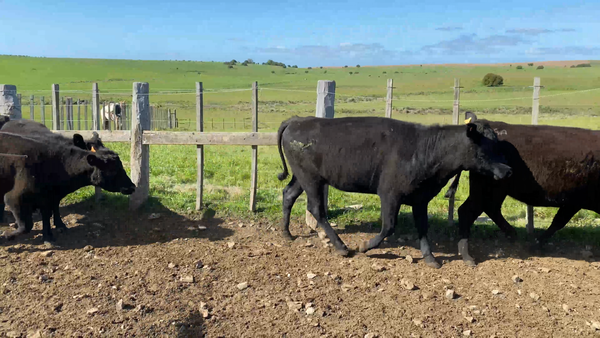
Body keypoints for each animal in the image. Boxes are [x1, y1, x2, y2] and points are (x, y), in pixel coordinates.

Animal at [0, 132, 135, 243]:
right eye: (112, 170)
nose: (132, 186)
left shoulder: (48, 198)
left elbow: (46, 216)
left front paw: (48, 236)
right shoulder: (13, 198)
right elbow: (26, 226)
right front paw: (8, 235)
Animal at [276, 116, 510, 270]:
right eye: (485, 147)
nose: (508, 170)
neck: (426, 150)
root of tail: (298, 120)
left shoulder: (421, 199)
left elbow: (423, 227)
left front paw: (430, 258)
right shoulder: (390, 194)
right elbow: (388, 227)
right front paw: (364, 246)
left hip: (302, 177)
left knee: (288, 194)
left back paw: (286, 233)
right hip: (311, 179)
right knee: (316, 209)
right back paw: (342, 247)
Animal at [446, 112, 600, 266]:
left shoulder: (573, 203)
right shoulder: (573, 202)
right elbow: (558, 222)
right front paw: (536, 245)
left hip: (495, 191)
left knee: (488, 209)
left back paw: (513, 236)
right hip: (486, 190)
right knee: (468, 211)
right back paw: (468, 256)